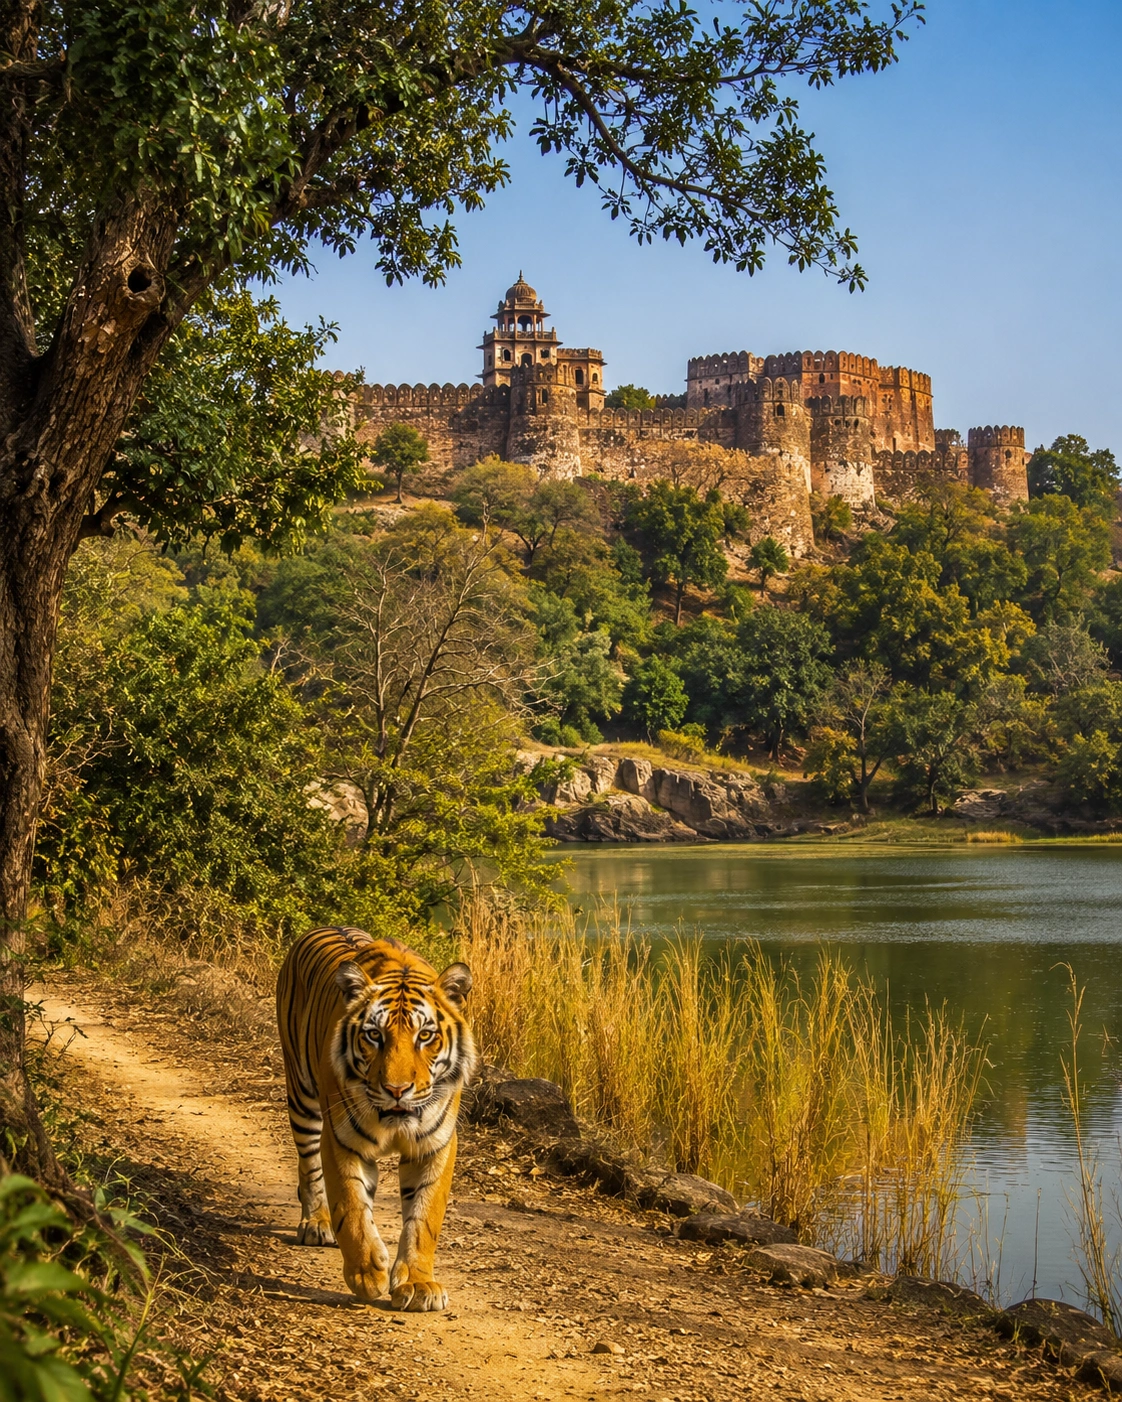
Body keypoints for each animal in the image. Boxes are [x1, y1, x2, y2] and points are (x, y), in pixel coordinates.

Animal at [276, 926, 476, 1311]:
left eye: (425, 1035)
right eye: (374, 1035)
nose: (396, 1090)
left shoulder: (435, 1144)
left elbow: (423, 1217)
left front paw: (418, 1284)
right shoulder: (340, 1138)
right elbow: (352, 1207)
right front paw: (366, 1275)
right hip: (302, 1097)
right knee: (309, 1166)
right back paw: (316, 1223)